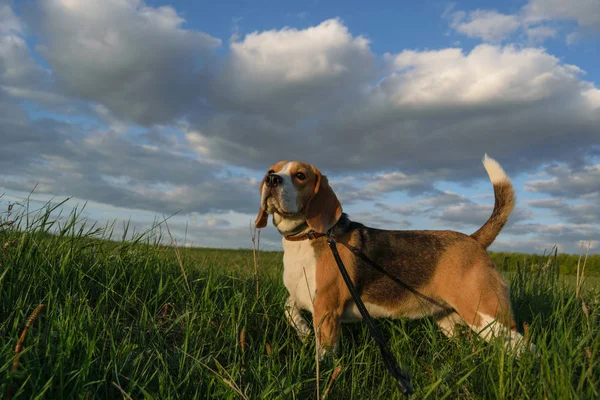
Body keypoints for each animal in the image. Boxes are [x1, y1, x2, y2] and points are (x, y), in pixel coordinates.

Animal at [255, 155, 528, 356]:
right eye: (271, 170)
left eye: (300, 175)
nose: (271, 179)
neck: (306, 236)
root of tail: (473, 239)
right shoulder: (303, 296)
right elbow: (288, 306)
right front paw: (303, 330)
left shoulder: (327, 310)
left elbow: (324, 355)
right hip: (451, 320)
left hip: (487, 316)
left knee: (525, 347)